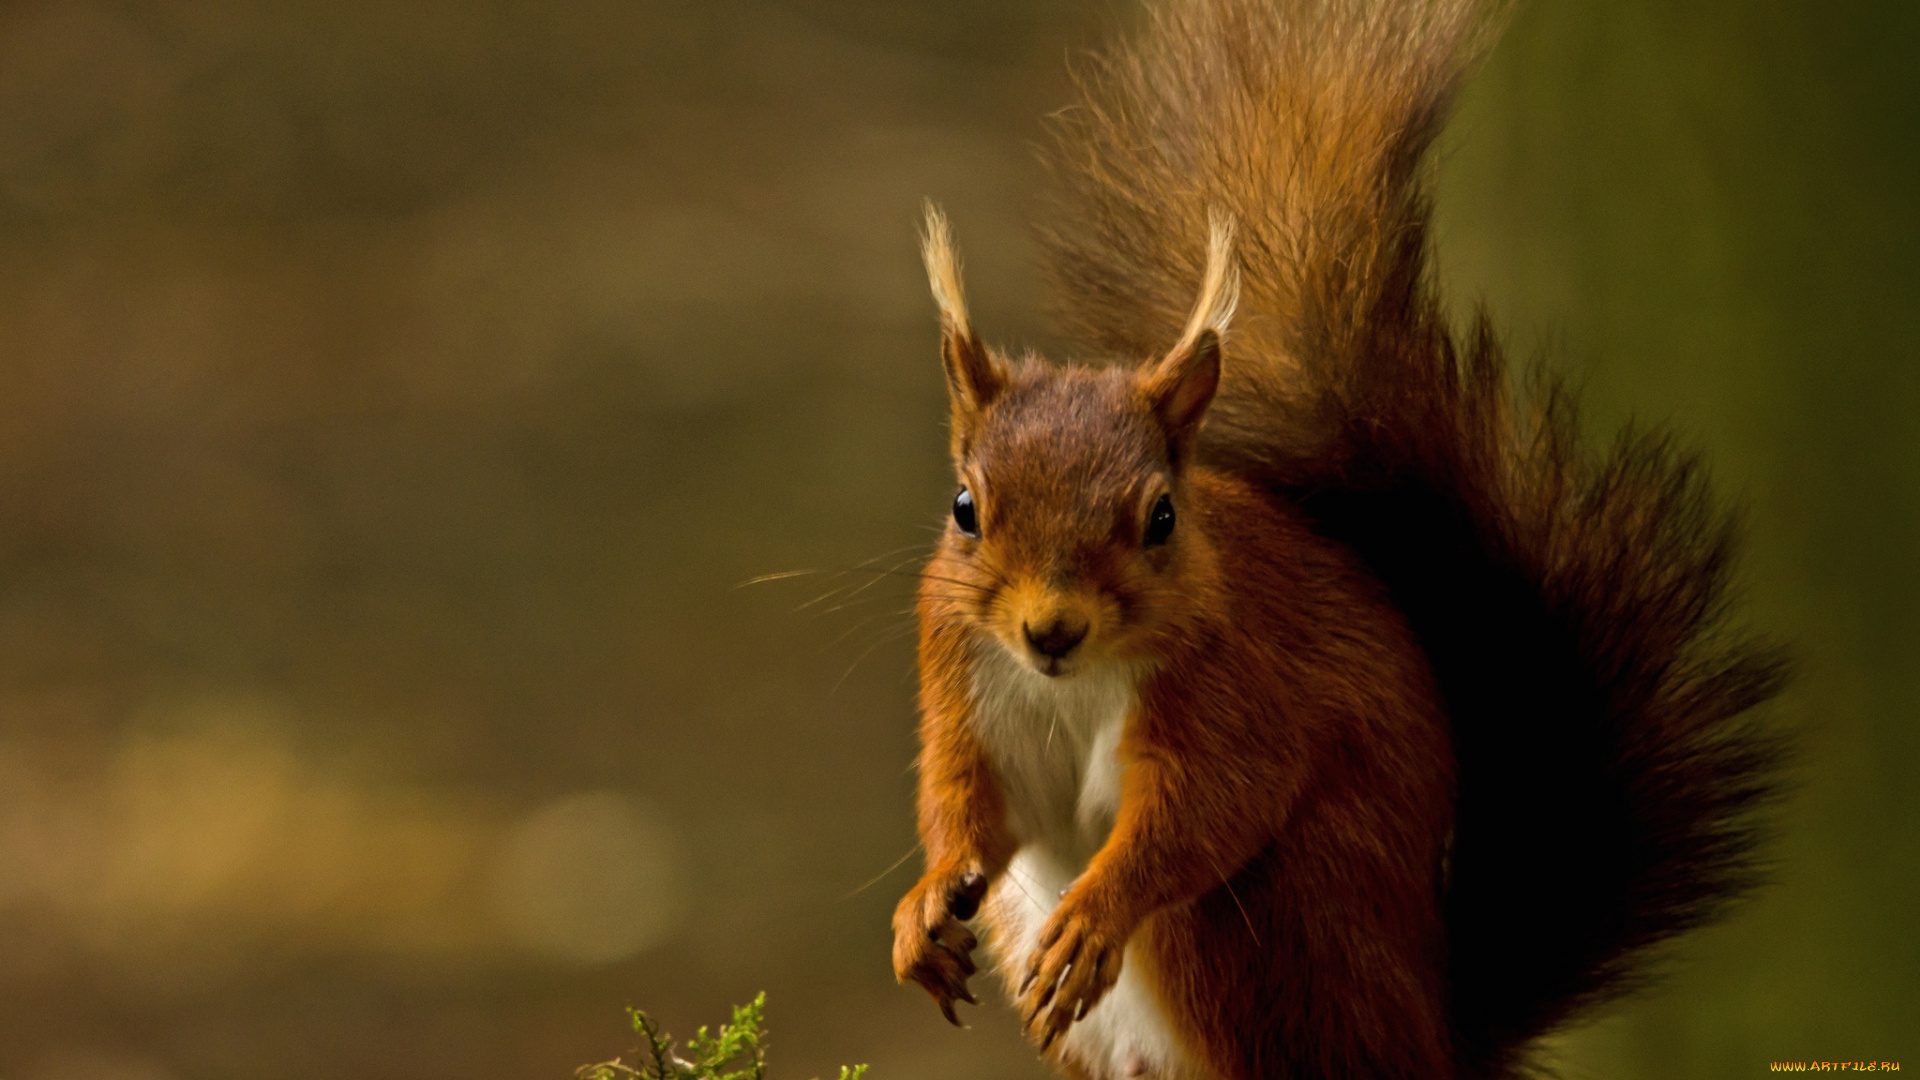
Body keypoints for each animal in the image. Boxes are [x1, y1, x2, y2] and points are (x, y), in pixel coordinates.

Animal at [883, 2, 1781, 1076]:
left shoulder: (1241, 691)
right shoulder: (964, 681)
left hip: (1265, 934)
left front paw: (1098, 912)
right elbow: (967, 803)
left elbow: (1204, 813)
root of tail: (1438, 1035)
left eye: (1162, 517)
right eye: (965, 508)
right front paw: (924, 909)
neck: (1073, 682)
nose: (1050, 630)